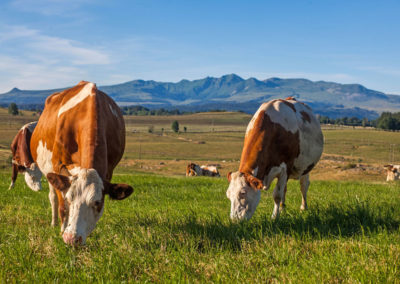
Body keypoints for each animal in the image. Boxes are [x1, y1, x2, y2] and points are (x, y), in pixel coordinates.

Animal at [30, 81, 133, 245]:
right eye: (69, 198)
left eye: (97, 203)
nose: (72, 239)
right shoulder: (58, 167)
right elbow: (62, 207)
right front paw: (62, 230)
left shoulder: (109, 170)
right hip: (47, 169)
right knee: (53, 197)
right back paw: (54, 223)